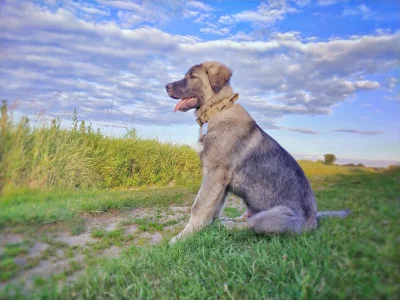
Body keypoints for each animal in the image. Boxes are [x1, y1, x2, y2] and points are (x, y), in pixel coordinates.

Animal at [164, 61, 348, 244]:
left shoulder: (215, 174)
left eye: (192, 76)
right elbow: (212, 208)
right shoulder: (219, 182)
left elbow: (199, 206)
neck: (218, 109)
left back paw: (227, 225)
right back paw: (228, 220)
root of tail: (313, 221)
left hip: (276, 215)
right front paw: (201, 229)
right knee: (245, 217)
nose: (166, 86)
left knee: (250, 225)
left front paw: (182, 237)